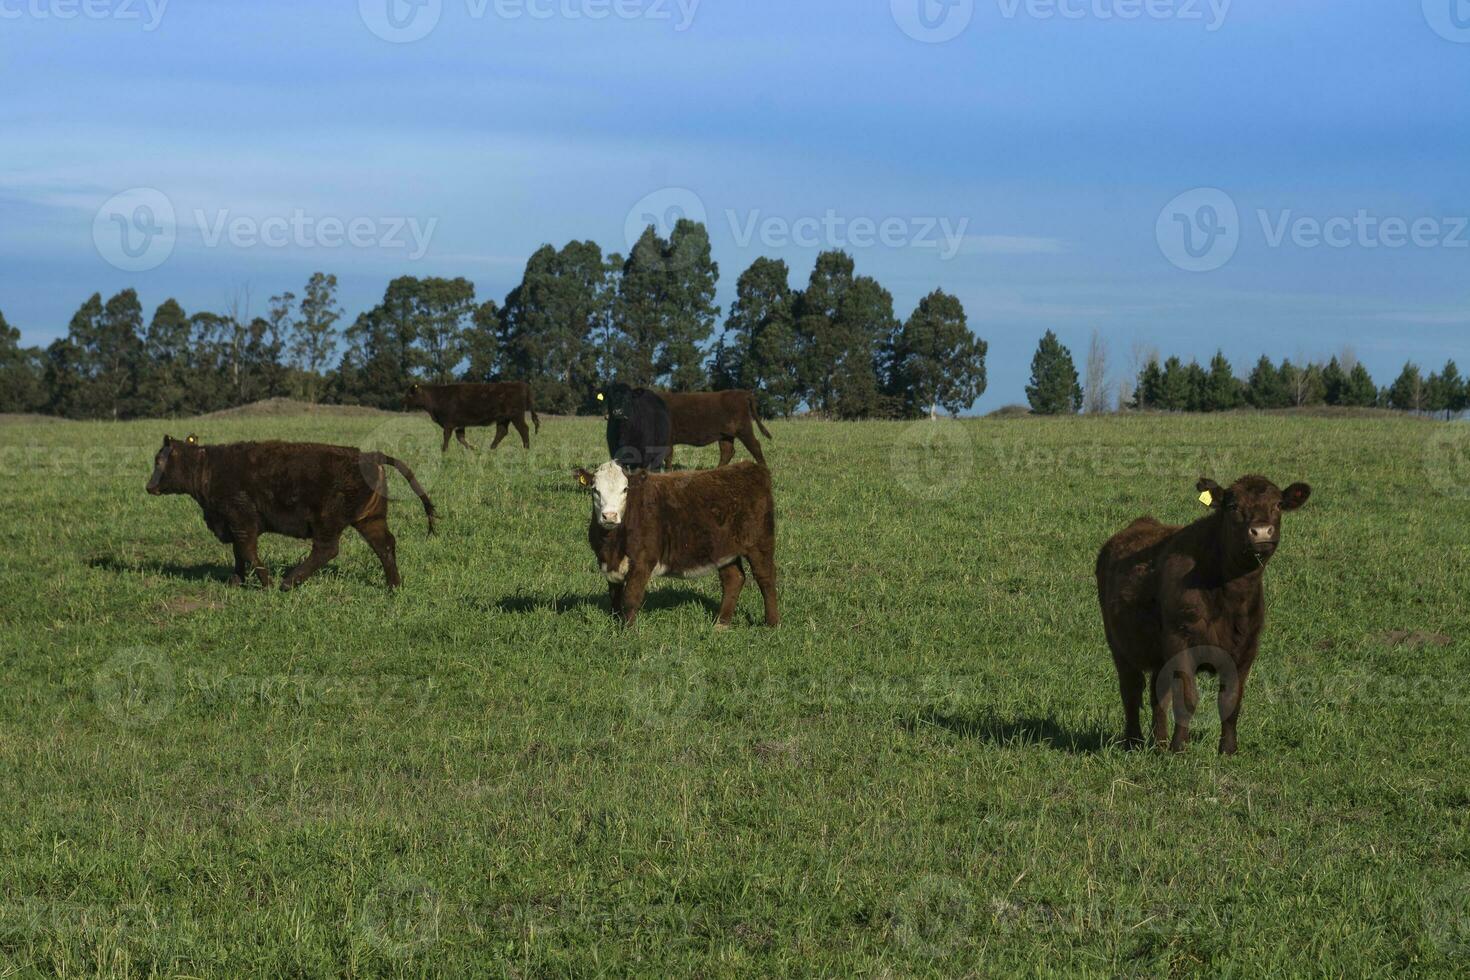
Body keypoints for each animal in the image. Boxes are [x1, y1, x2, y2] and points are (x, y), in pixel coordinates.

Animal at [146, 434, 438, 590]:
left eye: (159, 461)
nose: (149, 486)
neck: (207, 467)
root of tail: (370, 455)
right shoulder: (233, 524)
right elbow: (239, 553)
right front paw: (236, 581)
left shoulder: (241, 520)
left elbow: (248, 551)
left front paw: (266, 583)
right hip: (370, 520)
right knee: (384, 545)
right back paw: (394, 586)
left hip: (328, 522)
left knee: (327, 549)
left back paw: (288, 582)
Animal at [405, 382, 543, 455]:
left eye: (409, 395)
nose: (404, 404)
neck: (437, 397)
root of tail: (522, 384)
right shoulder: (459, 424)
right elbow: (461, 438)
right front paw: (474, 449)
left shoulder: (448, 423)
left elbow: (447, 437)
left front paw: (444, 451)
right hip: (503, 419)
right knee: (502, 432)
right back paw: (490, 449)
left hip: (516, 416)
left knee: (523, 429)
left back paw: (526, 449)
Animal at [573, 458, 782, 628]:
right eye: (595, 490)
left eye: (625, 489)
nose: (609, 515)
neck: (612, 544)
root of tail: (750, 467)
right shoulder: (609, 565)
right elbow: (615, 598)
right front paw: (616, 625)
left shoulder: (642, 561)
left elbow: (631, 597)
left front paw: (628, 632)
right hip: (724, 551)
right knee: (734, 579)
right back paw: (721, 624)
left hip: (760, 543)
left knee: (766, 578)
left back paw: (771, 624)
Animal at [596, 384, 770, 470]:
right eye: (608, 398)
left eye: (628, 399)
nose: (615, 413)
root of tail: (742, 393)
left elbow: (667, 457)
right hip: (725, 435)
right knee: (727, 452)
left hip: (744, 430)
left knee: (755, 446)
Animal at [1099, 478, 1317, 758]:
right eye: (1233, 506)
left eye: (1278, 504)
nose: (1261, 532)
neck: (1230, 595)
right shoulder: (1181, 642)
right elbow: (1187, 699)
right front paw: (1179, 749)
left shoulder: (1246, 649)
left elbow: (1231, 700)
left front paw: (1228, 750)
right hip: (1119, 645)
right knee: (1131, 690)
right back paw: (1134, 742)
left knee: (1158, 694)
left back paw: (1158, 744)